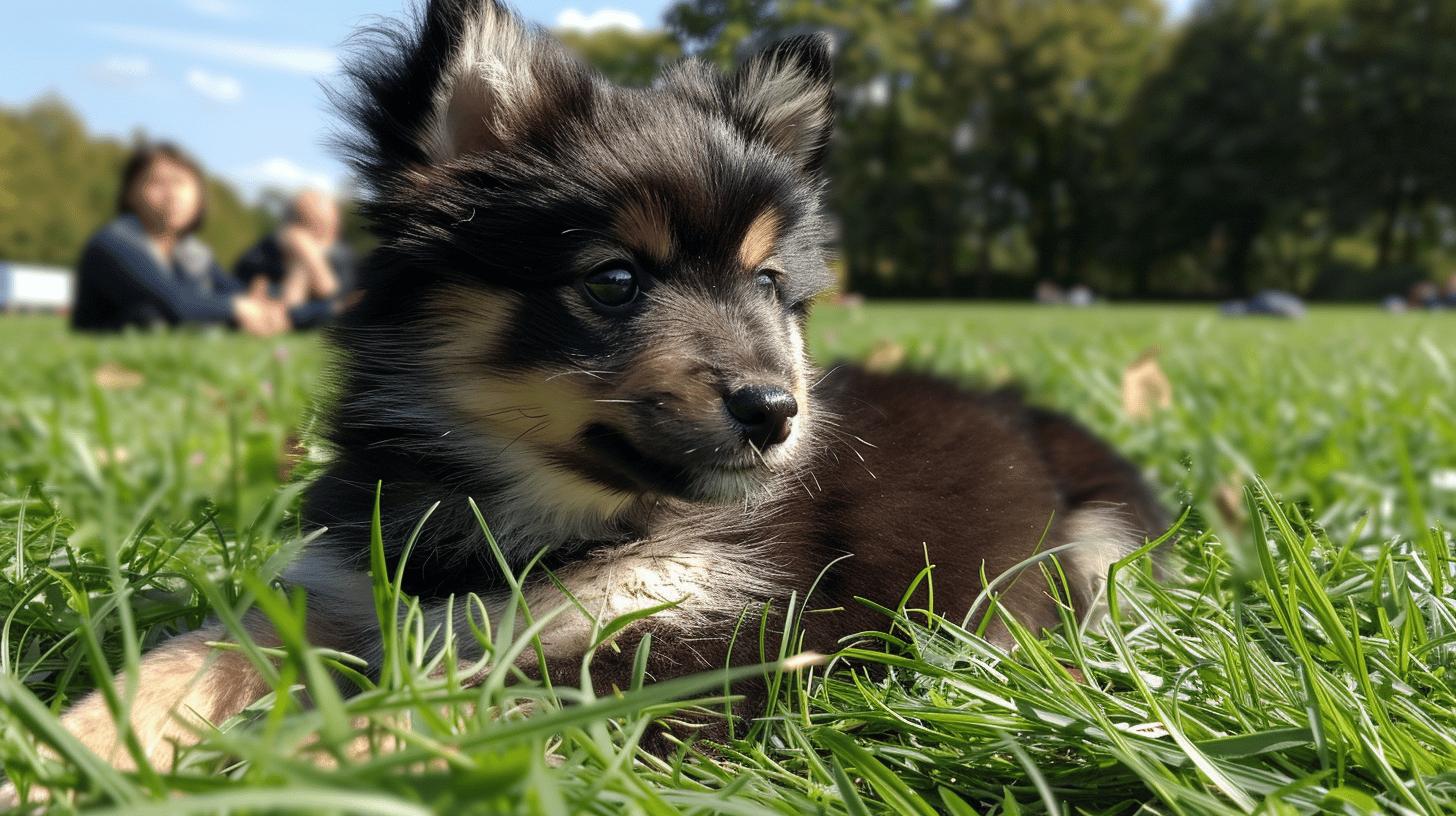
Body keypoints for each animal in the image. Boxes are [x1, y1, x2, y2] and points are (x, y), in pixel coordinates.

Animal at [39, 0, 1164, 775]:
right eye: (614, 281)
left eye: (767, 284)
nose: (775, 411)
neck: (523, 523)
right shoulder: (342, 592)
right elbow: (196, 650)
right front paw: (70, 747)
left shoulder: (672, 653)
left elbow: (421, 714)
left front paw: (266, 774)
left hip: (1091, 549)